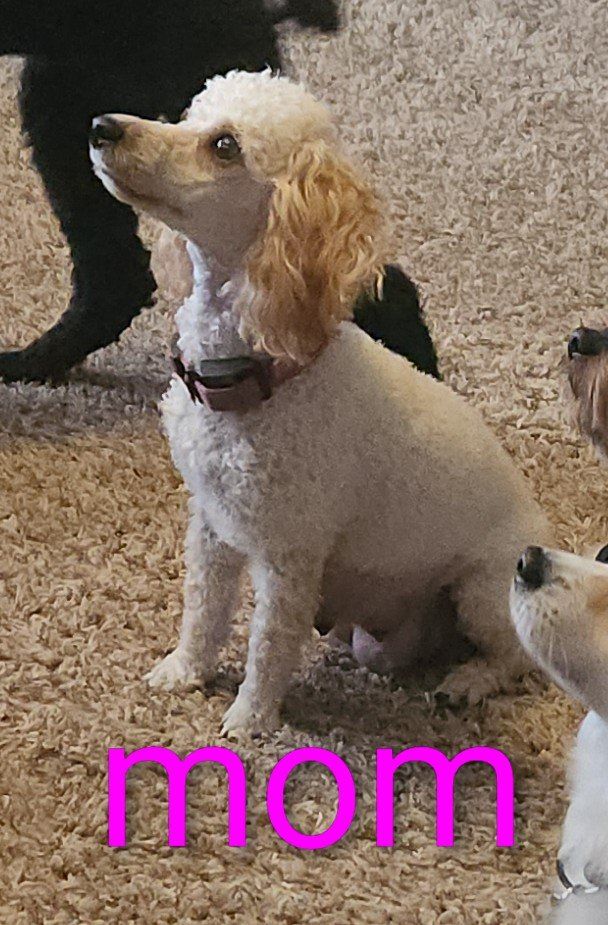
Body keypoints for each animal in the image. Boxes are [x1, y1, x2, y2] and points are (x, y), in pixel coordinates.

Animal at [90, 69, 550, 734]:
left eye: (225, 146)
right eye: (187, 116)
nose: (102, 127)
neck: (263, 376)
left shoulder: (290, 555)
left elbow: (268, 643)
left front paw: (250, 720)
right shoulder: (211, 522)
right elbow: (202, 610)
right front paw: (185, 671)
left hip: (483, 591)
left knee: (517, 657)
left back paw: (468, 682)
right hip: (381, 641)